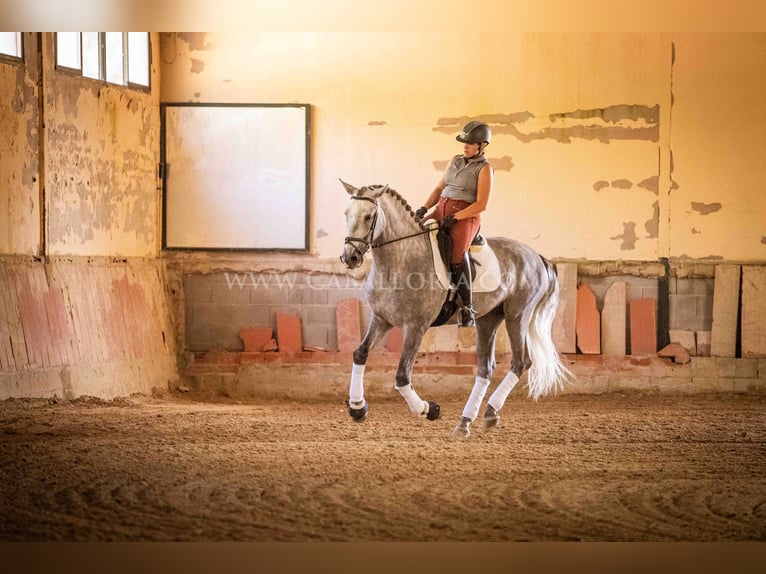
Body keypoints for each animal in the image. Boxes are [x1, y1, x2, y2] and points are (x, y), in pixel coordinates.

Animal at [342, 180, 576, 436]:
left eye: (369, 216)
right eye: (346, 214)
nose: (349, 257)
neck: (398, 263)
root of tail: (537, 256)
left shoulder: (415, 327)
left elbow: (402, 376)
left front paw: (429, 409)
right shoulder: (381, 319)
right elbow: (360, 353)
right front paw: (357, 407)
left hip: (517, 315)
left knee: (520, 362)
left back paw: (488, 411)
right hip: (488, 319)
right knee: (486, 368)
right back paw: (468, 420)